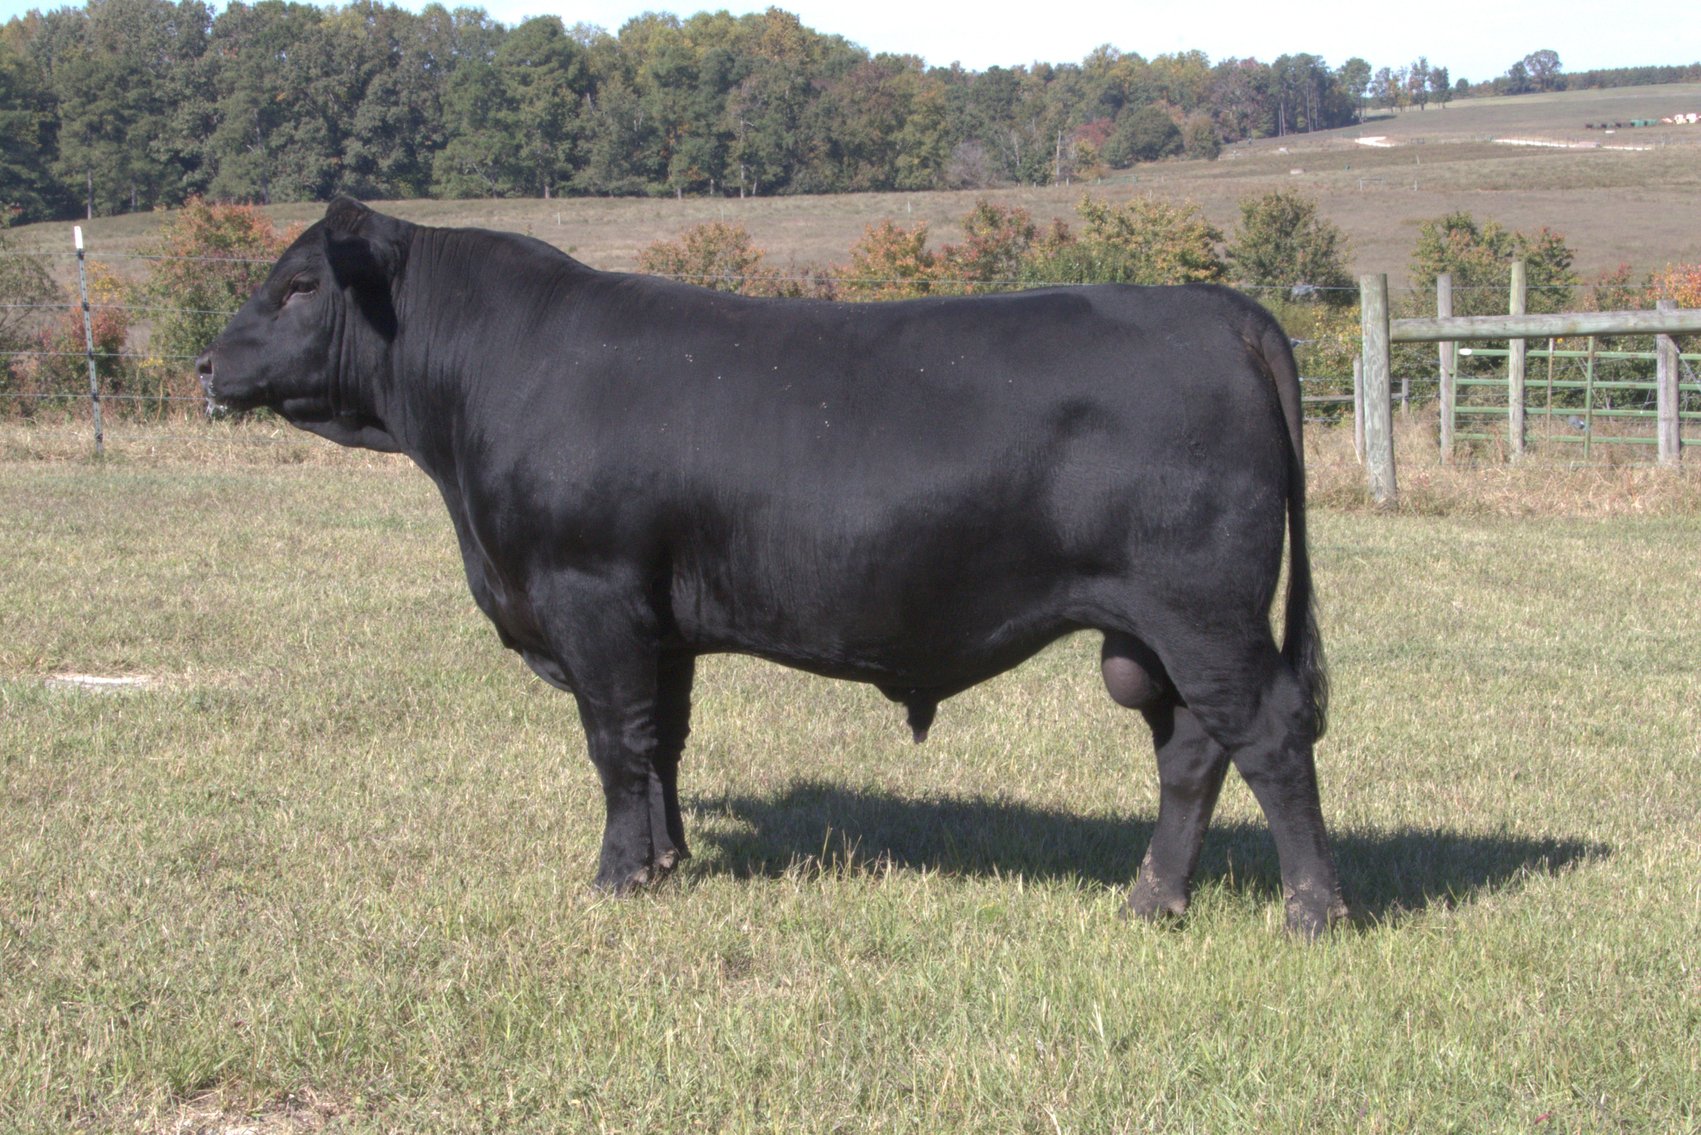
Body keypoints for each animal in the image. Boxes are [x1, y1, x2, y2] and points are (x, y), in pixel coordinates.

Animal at [198, 198, 1348, 937]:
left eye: (297, 286)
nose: (207, 363)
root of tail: (1213, 306)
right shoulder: (658, 620)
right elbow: (661, 744)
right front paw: (667, 862)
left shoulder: (590, 595)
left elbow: (613, 745)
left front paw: (616, 880)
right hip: (1154, 632)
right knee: (1192, 751)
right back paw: (1152, 901)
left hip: (1204, 613)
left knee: (1268, 735)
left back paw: (1313, 912)